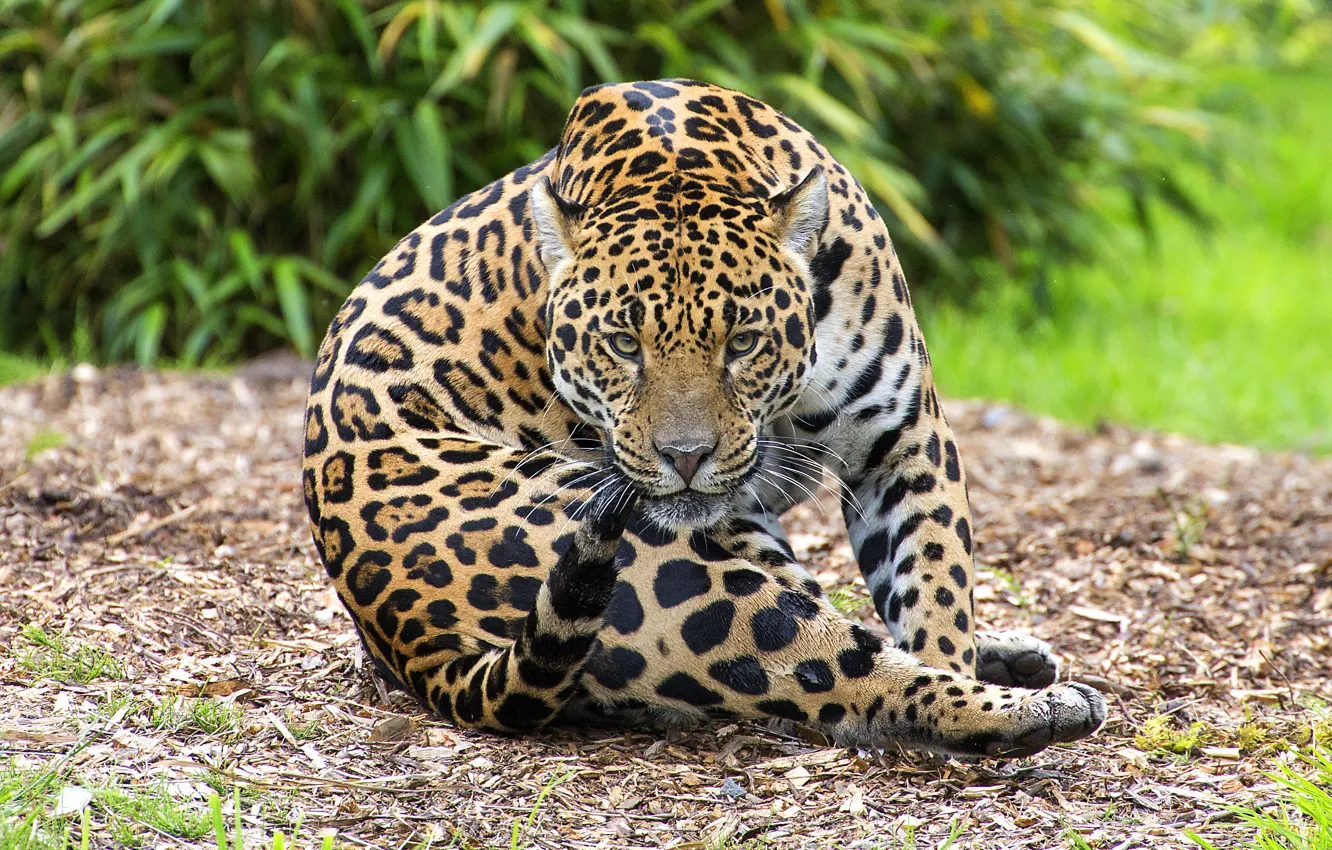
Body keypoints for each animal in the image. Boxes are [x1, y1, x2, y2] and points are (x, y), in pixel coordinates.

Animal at [302, 79, 1106, 759]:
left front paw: (958, 643)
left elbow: (934, 583)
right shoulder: (729, 516)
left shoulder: (903, 439)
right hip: (653, 570)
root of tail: (398, 632)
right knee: (836, 665)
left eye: (741, 342)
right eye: (623, 344)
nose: (684, 457)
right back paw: (1026, 710)